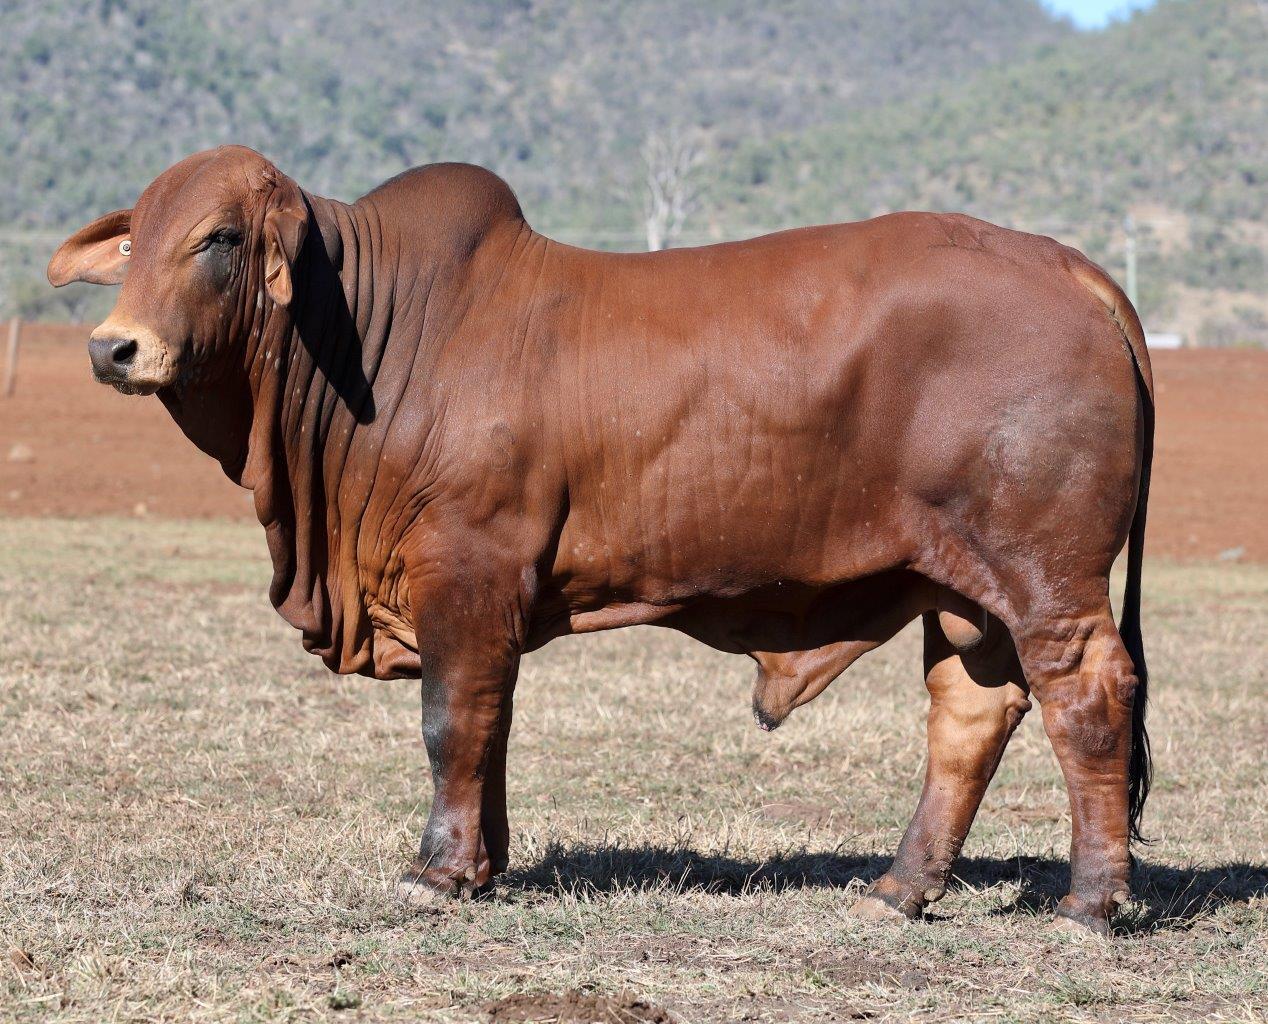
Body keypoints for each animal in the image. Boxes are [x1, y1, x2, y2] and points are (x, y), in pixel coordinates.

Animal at [49, 145, 1152, 935]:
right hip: (961, 592)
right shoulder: (487, 604)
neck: (376, 330)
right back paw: (899, 888)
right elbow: (488, 726)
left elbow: (451, 722)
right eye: (135, 238)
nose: (113, 348)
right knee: (969, 712)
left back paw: (1089, 902)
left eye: (220, 237)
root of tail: (1065, 263)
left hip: (1044, 578)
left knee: (1087, 697)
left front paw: (435, 872)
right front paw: (483, 865)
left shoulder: (467, 571)